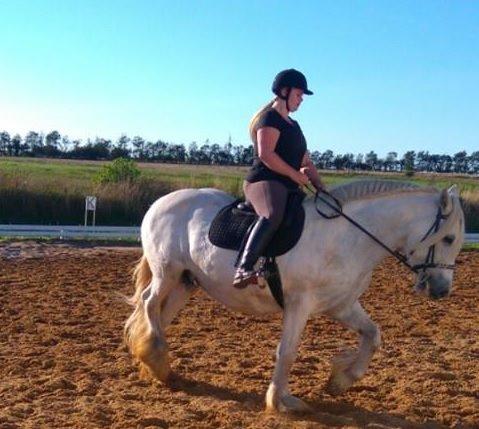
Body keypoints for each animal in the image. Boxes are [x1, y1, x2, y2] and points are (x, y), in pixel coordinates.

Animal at [123, 180, 464, 412]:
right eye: (448, 238)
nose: (442, 289)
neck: (347, 238)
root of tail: (161, 202)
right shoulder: (299, 305)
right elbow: (286, 353)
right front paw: (280, 402)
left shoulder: (342, 305)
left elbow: (373, 335)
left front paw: (339, 382)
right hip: (167, 273)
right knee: (148, 303)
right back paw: (156, 356)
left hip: (185, 282)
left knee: (159, 315)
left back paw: (157, 365)